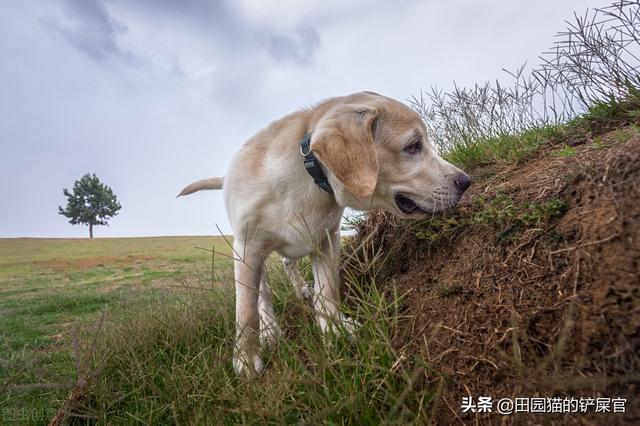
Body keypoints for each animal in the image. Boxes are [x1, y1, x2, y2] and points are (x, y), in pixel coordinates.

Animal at [179, 90, 470, 376]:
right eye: (412, 146)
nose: (466, 181)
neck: (308, 181)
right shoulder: (248, 249)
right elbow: (247, 309)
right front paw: (247, 359)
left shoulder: (327, 239)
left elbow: (328, 290)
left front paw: (334, 329)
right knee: (263, 292)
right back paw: (271, 331)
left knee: (288, 262)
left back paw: (302, 291)